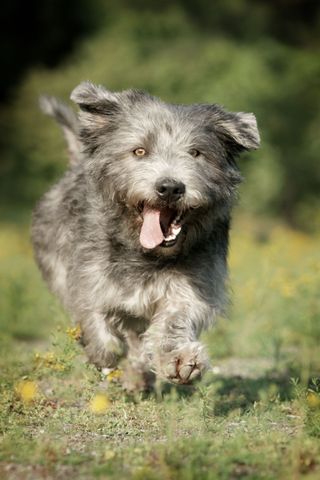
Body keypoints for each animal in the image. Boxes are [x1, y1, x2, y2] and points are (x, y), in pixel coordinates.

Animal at [30, 82, 260, 390]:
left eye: (196, 153)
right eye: (139, 151)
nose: (170, 187)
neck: (147, 255)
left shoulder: (193, 285)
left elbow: (175, 319)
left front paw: (179, 360)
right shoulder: (88, 278)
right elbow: (94, 316)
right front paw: (102, 351)